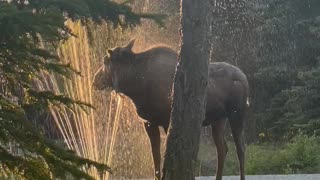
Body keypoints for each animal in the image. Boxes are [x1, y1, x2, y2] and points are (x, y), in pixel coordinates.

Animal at [92, 39, 250, 180]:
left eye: (105, 61)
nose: (95, 80)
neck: (135, 87)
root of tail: (244, 77)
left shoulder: (167, 121)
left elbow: (165, 155)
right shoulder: (149, 122)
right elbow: (155, 157)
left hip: (237, 114)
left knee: (241, 148)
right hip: (219, 119)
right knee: (222, 149)